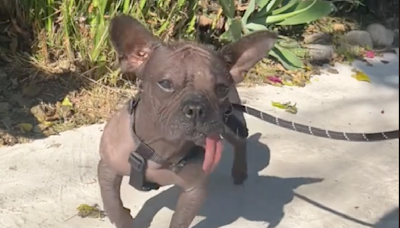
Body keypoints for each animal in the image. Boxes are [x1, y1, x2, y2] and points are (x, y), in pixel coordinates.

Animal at [97, 14, 278, 228]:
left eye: (222, 88)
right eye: (165, 84)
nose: (196, 108)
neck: (163, 147)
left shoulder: (194, 192)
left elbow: (179, 222)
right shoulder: (107, 169)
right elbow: (113, 205)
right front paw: (124, 219)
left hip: (229, 123)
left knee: (240, 140)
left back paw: (240, 172)